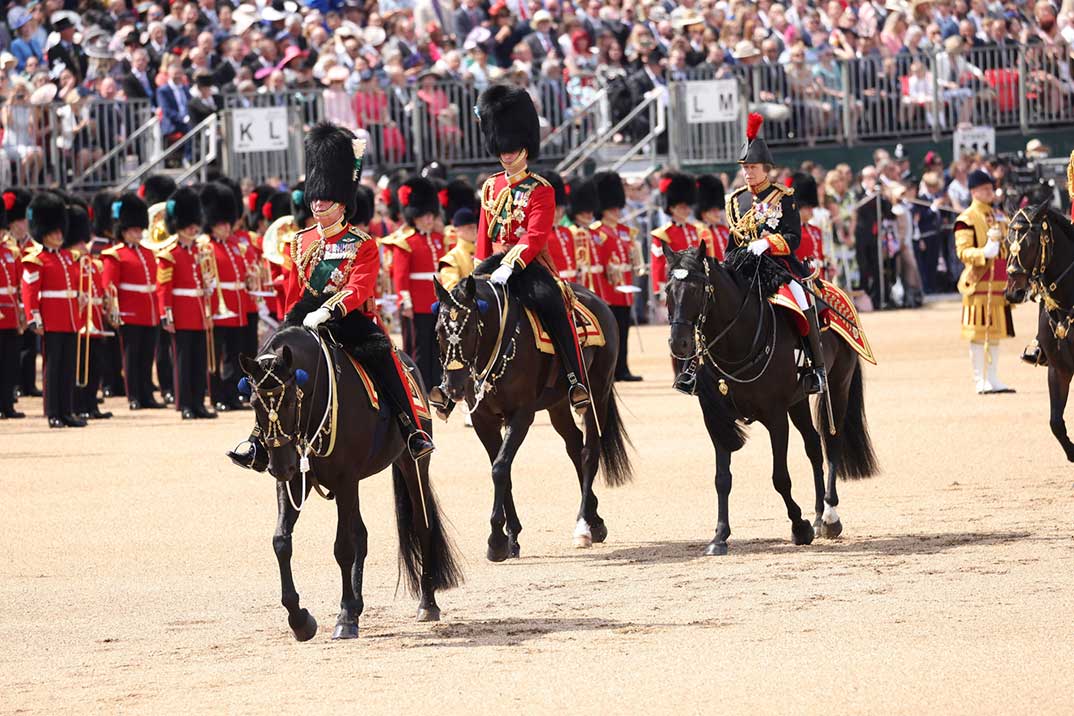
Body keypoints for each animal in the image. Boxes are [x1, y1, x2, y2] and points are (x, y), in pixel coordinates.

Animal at [239, 330, 461, 644]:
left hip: (412, 463)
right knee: (362, 535)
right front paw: (300, 620)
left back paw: (426, 603)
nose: (279, 466)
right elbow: (281, 542)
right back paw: (357, 604)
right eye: (253, 403)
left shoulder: (344, 479)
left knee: (422, 525)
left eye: (291, 402)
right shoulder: (295, 481)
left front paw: (344, 617)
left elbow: (343, 548)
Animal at [429, 274, 627, 558]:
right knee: (574, 446)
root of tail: (598, 301)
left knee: (590, 451)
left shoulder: (521, 415)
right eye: (439, 332)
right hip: (558, 405)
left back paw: (583, 527)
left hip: (596, 395)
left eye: (468, 330)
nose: (453, 388)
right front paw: (511, 537)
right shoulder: (483, 420)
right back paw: (595, 520)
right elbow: (501, 469)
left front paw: (496, 539)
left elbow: (500, 468)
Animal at [661, 244, 880, 553]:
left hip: (838, 386)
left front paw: (799, 527)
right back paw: (817, 515)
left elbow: (780, 478)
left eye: (697, 288)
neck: (737, 343)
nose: (679, 344)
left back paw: (829, 515)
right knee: (814, 446)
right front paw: (720, 535)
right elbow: (722, 479)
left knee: (832, 442)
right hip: (798, 402)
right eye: (668, 289)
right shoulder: (716, 420)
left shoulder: (776, 417)